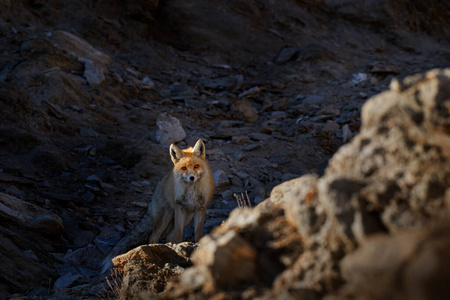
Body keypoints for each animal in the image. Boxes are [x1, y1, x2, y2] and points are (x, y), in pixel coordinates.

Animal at [101, 139, 214, 274]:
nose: (191, 177)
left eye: (196, 166)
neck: (192, 191)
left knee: (168, 235)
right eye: (184, 168)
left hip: (186, 218)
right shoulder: (180, 208)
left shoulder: (200, 209)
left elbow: (198, 233)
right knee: (153, 237)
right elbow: (179, 234)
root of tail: (158, 186)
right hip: (166, 217)